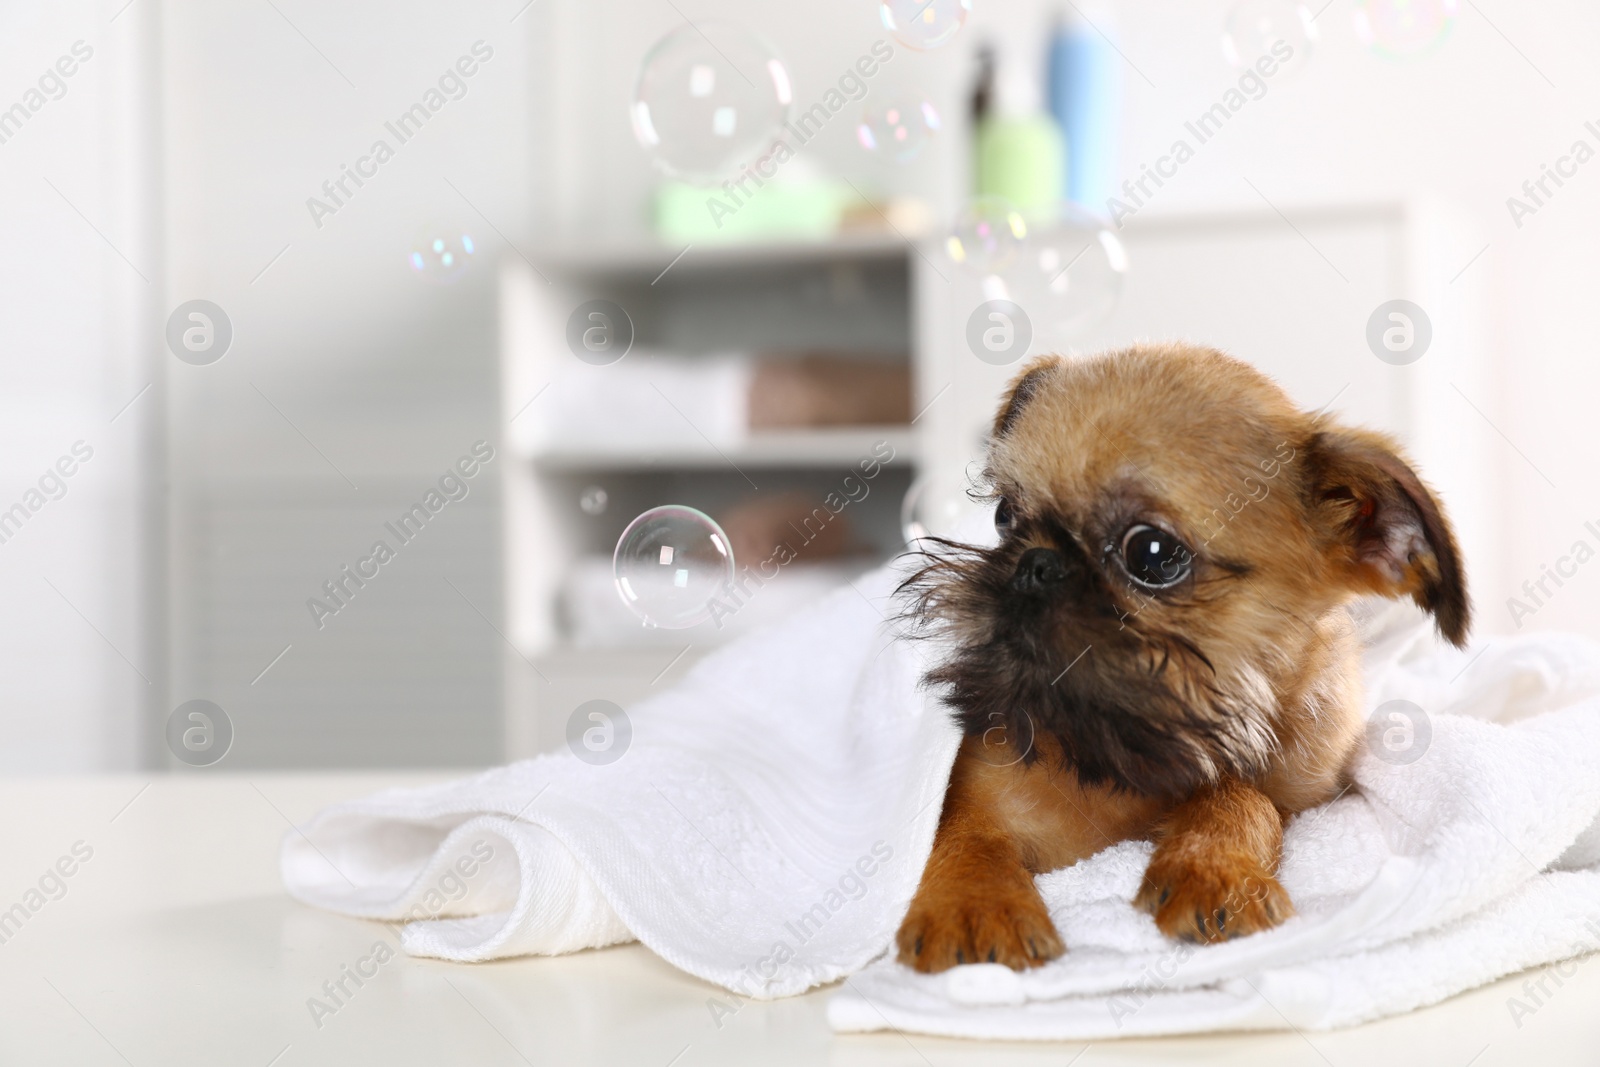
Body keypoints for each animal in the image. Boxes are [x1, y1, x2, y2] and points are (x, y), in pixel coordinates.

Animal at [896, 343, 1465, 979]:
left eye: (1153, 553)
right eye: (1004, 516)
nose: (1034, 564)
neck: (1139, 754)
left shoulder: (1308, 792)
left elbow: (1243, 795)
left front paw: (1211, 865)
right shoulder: (982, 788)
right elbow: (963, 834)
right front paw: (973, 902)